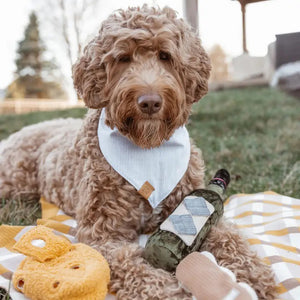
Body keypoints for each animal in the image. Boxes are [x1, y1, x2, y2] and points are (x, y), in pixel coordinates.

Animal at [0, 5, 276, 300]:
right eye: (123, 58)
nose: (150, 102)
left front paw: (254, 275)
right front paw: (170, 290)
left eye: (165, 56)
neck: (148, 149)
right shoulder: (102, 236)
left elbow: (228, 237)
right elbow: (130, 264)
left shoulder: (199, 211)